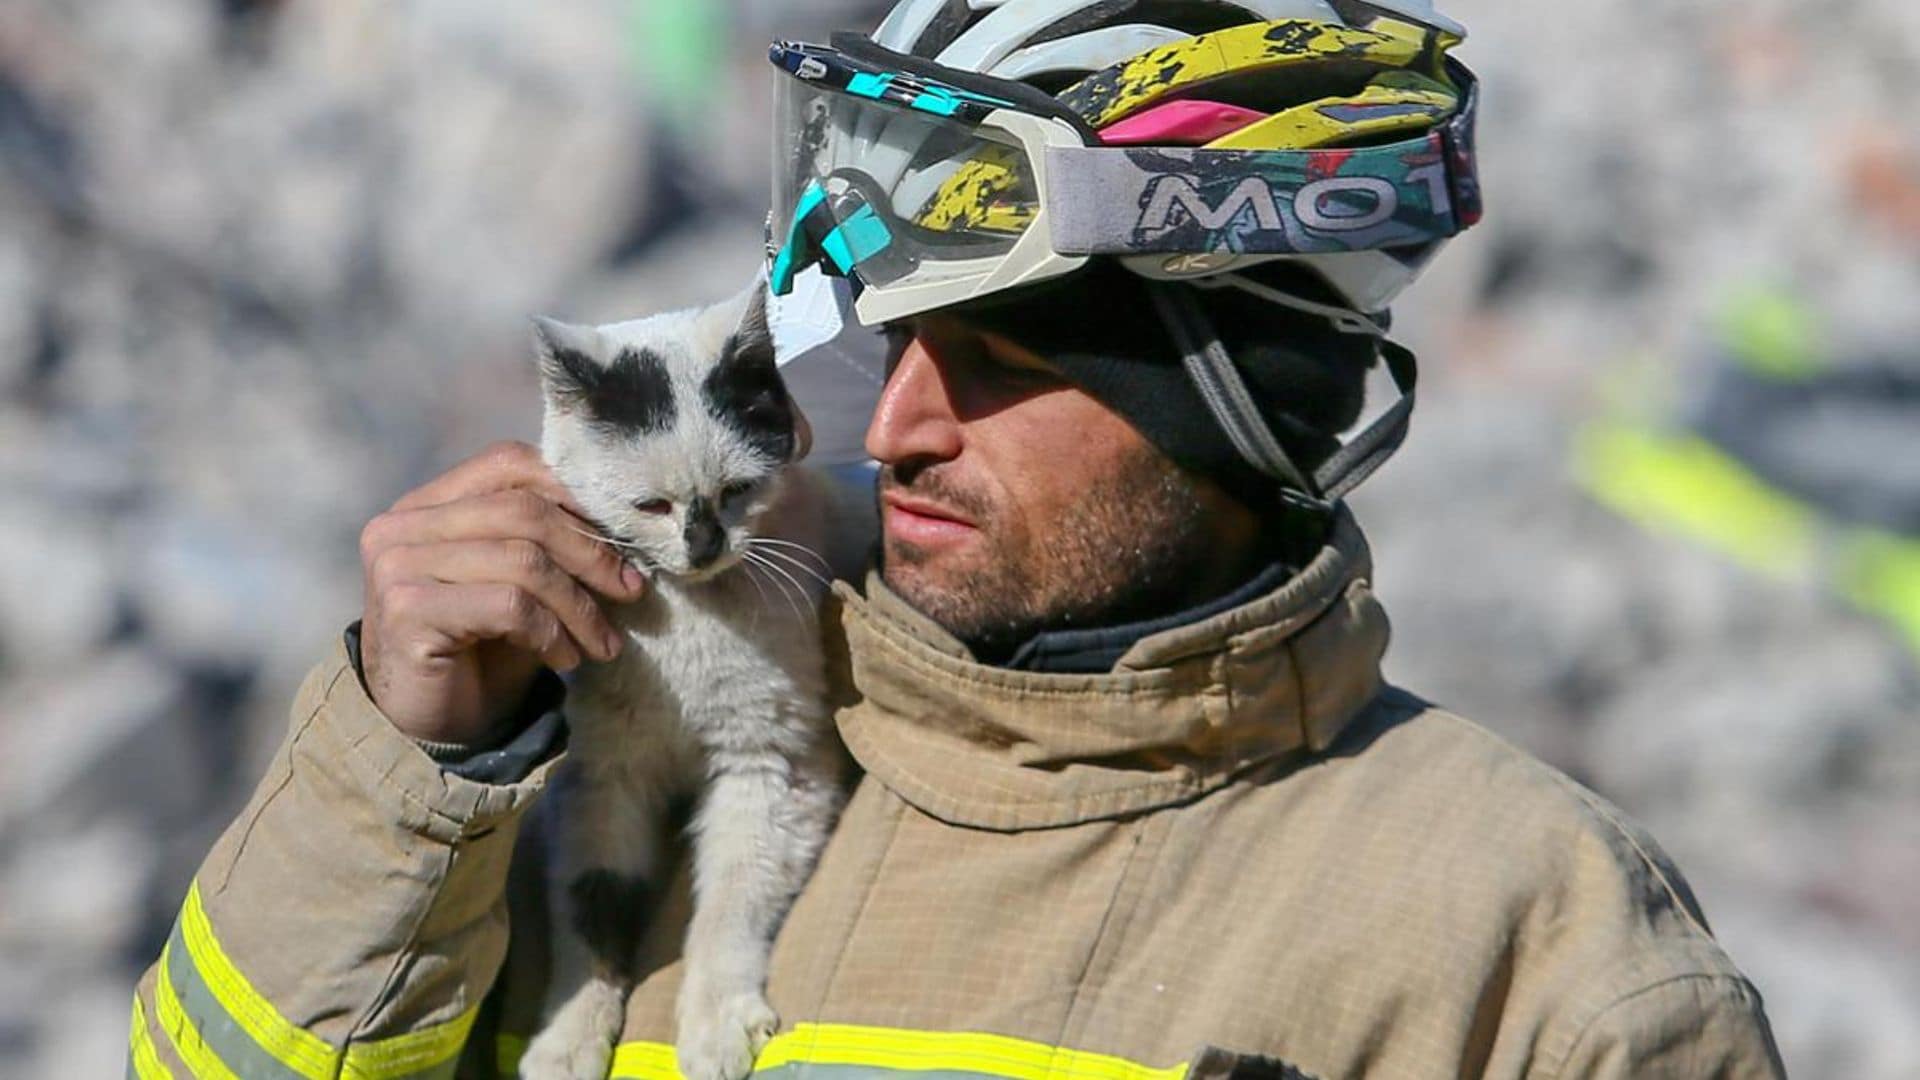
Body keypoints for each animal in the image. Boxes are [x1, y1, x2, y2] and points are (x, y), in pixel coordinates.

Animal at [526, 284, 856, 1076]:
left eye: (735, 491)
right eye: (651, 505)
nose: (704, 544)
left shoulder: (774, 764)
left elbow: (730, 905)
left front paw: (715, 1027)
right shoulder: (597, 777)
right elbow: (590, 908)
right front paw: (567, 1039)